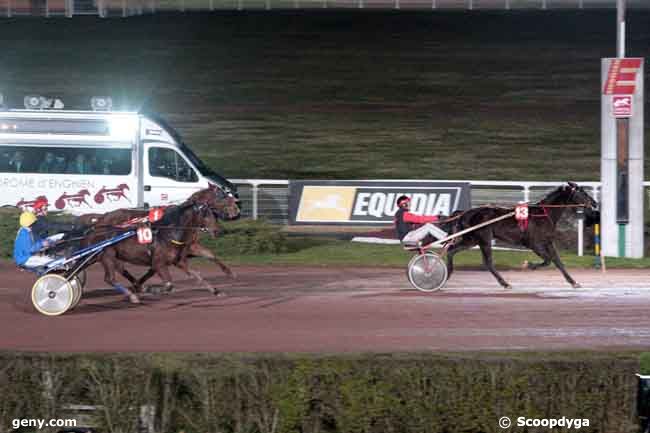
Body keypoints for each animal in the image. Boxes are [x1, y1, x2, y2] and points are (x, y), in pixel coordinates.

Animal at [446, 181, 596, 288]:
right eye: (583, 192)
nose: (595, 203)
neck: (543, 214)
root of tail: (465, 213)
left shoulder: (548, 241)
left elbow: (557, 261)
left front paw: (573, 282)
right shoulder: (533, 243)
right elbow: (548, 259)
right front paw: (529, 265)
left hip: (471, 239)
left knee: (451, 250)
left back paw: (448, 274)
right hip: (484, 238)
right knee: (487, 262)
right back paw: (505, 283)